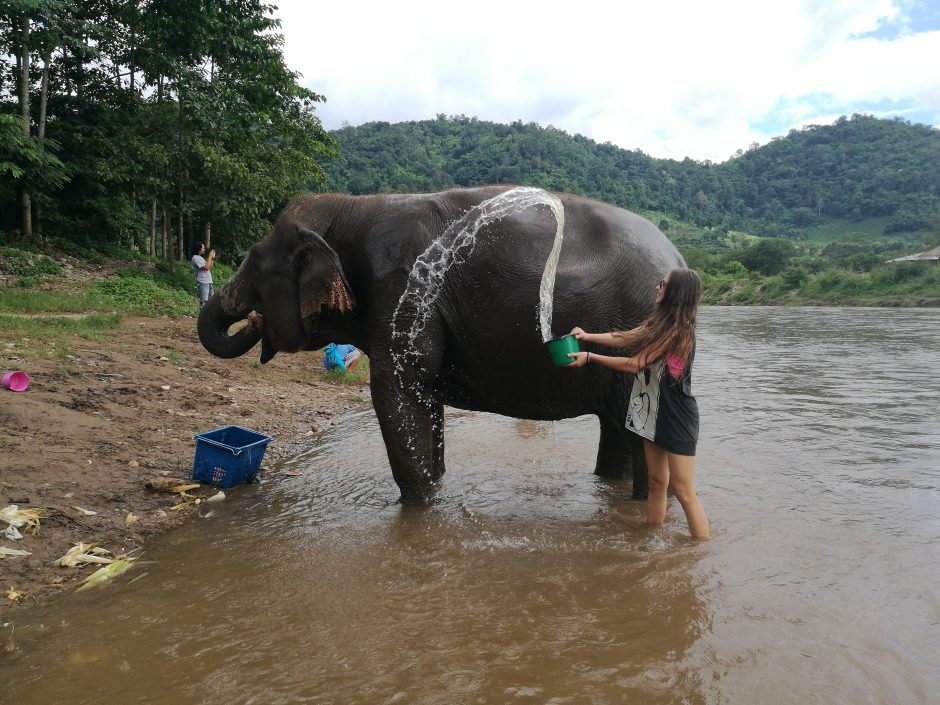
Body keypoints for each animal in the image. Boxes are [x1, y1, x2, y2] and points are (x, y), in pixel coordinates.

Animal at [196, 182, 684, 500]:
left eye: (253, 263)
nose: (252, 317)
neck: (351, 210)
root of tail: (679, 259)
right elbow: (422, 400)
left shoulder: (401, 292)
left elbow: (398, 390)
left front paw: (420, 507)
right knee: (616, 428)